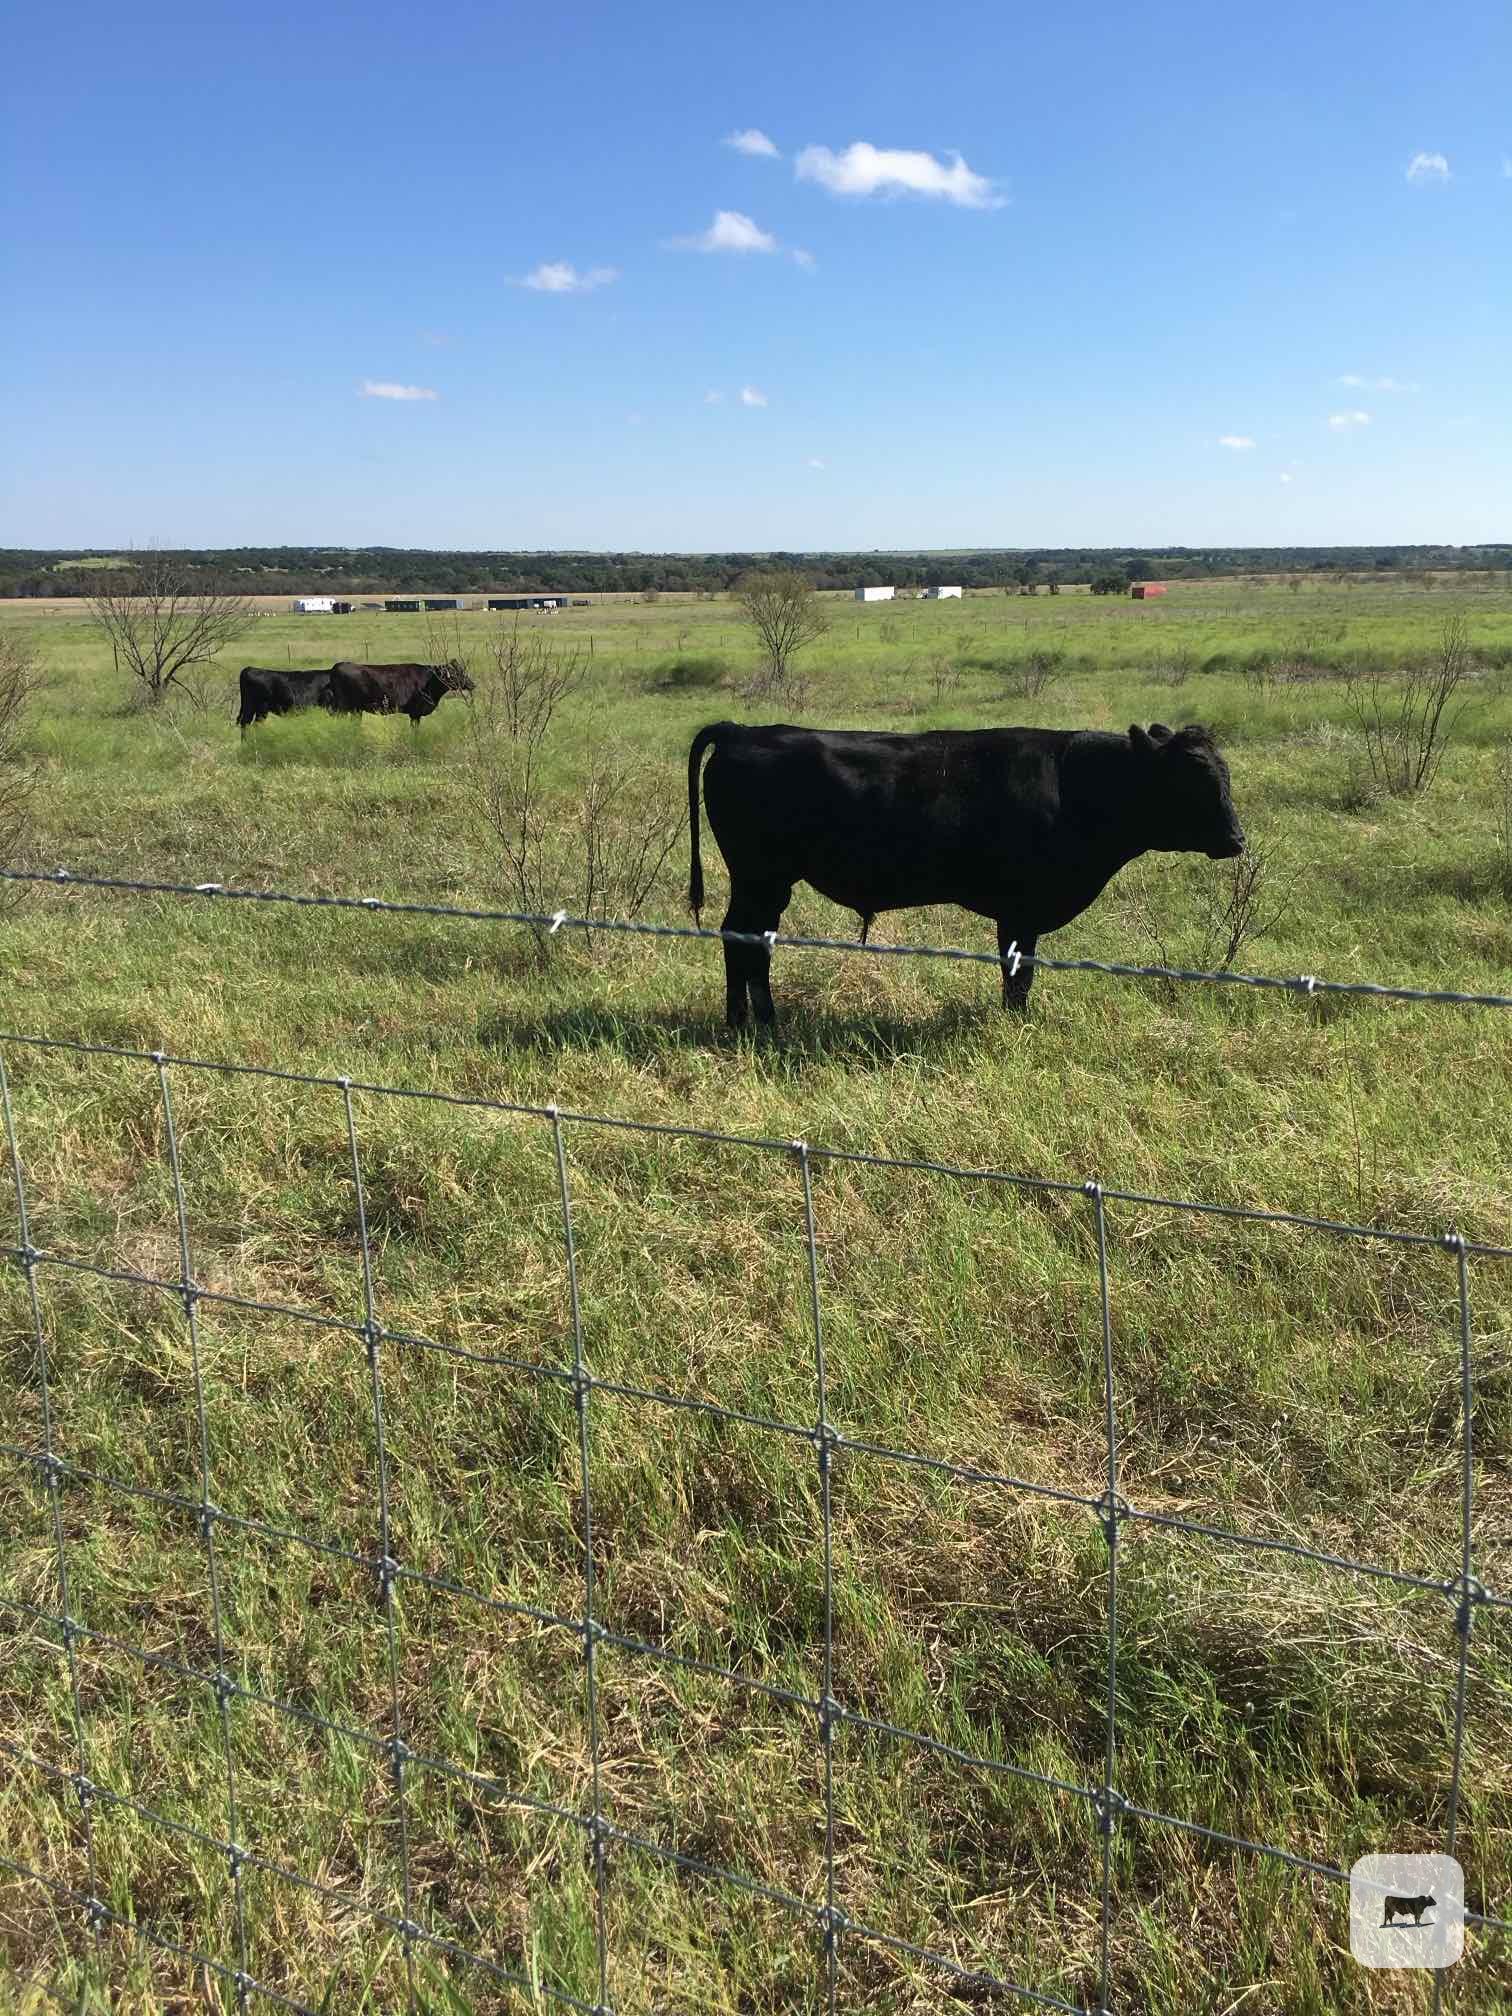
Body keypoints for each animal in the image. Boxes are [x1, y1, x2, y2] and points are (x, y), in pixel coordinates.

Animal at [687, 719, 1245, 1027]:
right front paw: (1017, 1026)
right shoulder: (1022, 909)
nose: (1237, 840)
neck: (1076, 785)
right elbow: (1018, 975)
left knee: (753, 940)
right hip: (760, 876)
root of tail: (743, 731)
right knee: (740, 938)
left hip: (767, 882)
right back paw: (753, 1025)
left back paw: (752, 1022)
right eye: (1193, 777)